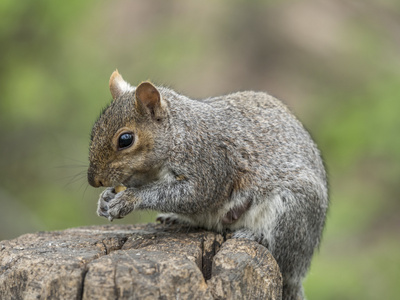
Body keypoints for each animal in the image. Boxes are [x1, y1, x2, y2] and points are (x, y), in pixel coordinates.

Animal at [87, 71, 328, 300]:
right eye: (94, 131)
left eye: (125, 139)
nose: (94, 180)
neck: (177, 135)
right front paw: (105, 199)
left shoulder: (209, 165)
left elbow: (194, 195)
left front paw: (129, 199)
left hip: (292, 211)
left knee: (281, 250)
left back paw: (254, 236)